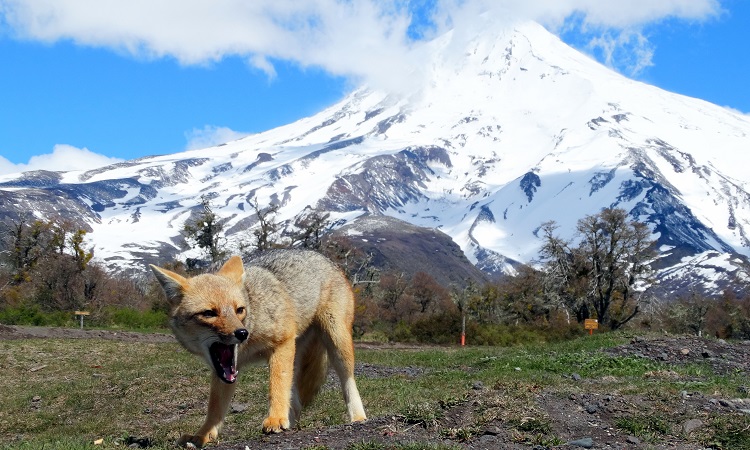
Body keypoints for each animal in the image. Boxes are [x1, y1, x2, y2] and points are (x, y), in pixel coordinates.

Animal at [150, 250, 368, 446]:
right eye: (209, 313)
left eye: (239, 310)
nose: (241, 333)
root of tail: (324, 258)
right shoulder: (227, 369)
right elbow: (215, 407)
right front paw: (203, 435)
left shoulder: (281, 343)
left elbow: (276, 386)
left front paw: (275, 419)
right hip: (297, 356)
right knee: (296, 401)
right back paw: (291, 421)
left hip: (337, 344)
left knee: (348, 381)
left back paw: (358, 418)